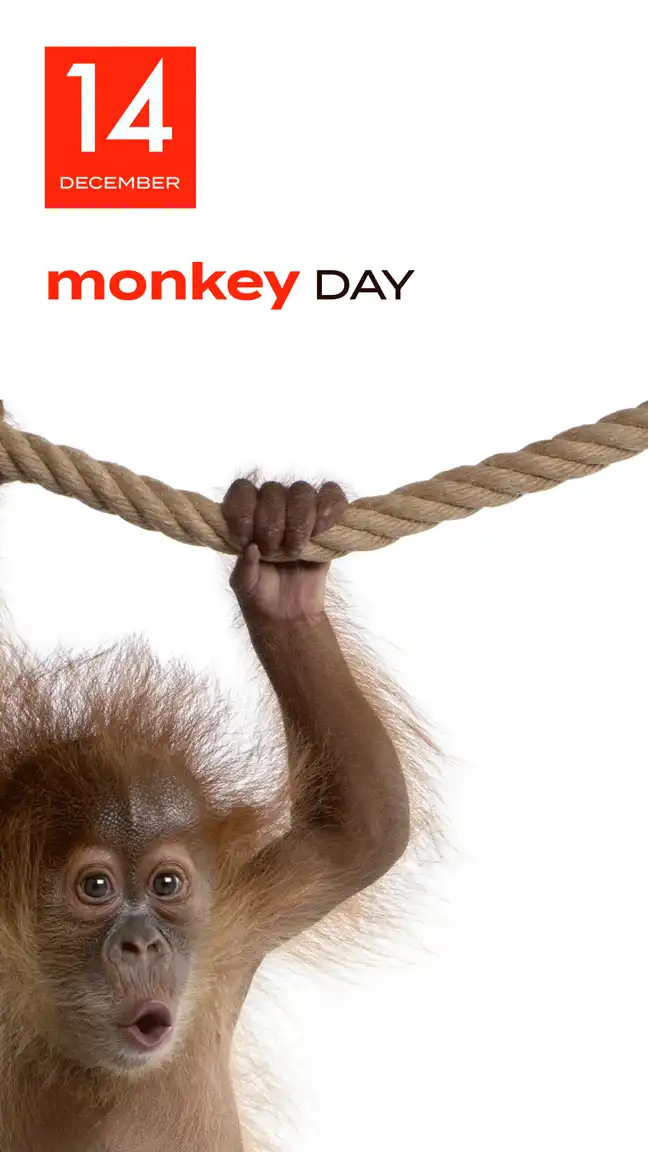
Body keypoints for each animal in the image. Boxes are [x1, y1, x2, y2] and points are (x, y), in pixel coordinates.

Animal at [0, 477, 438, 1152]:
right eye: (96, 887)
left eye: (167, 884)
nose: (142, 944)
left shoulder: (240, 925)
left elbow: (363, 831)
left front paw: (284, 574)